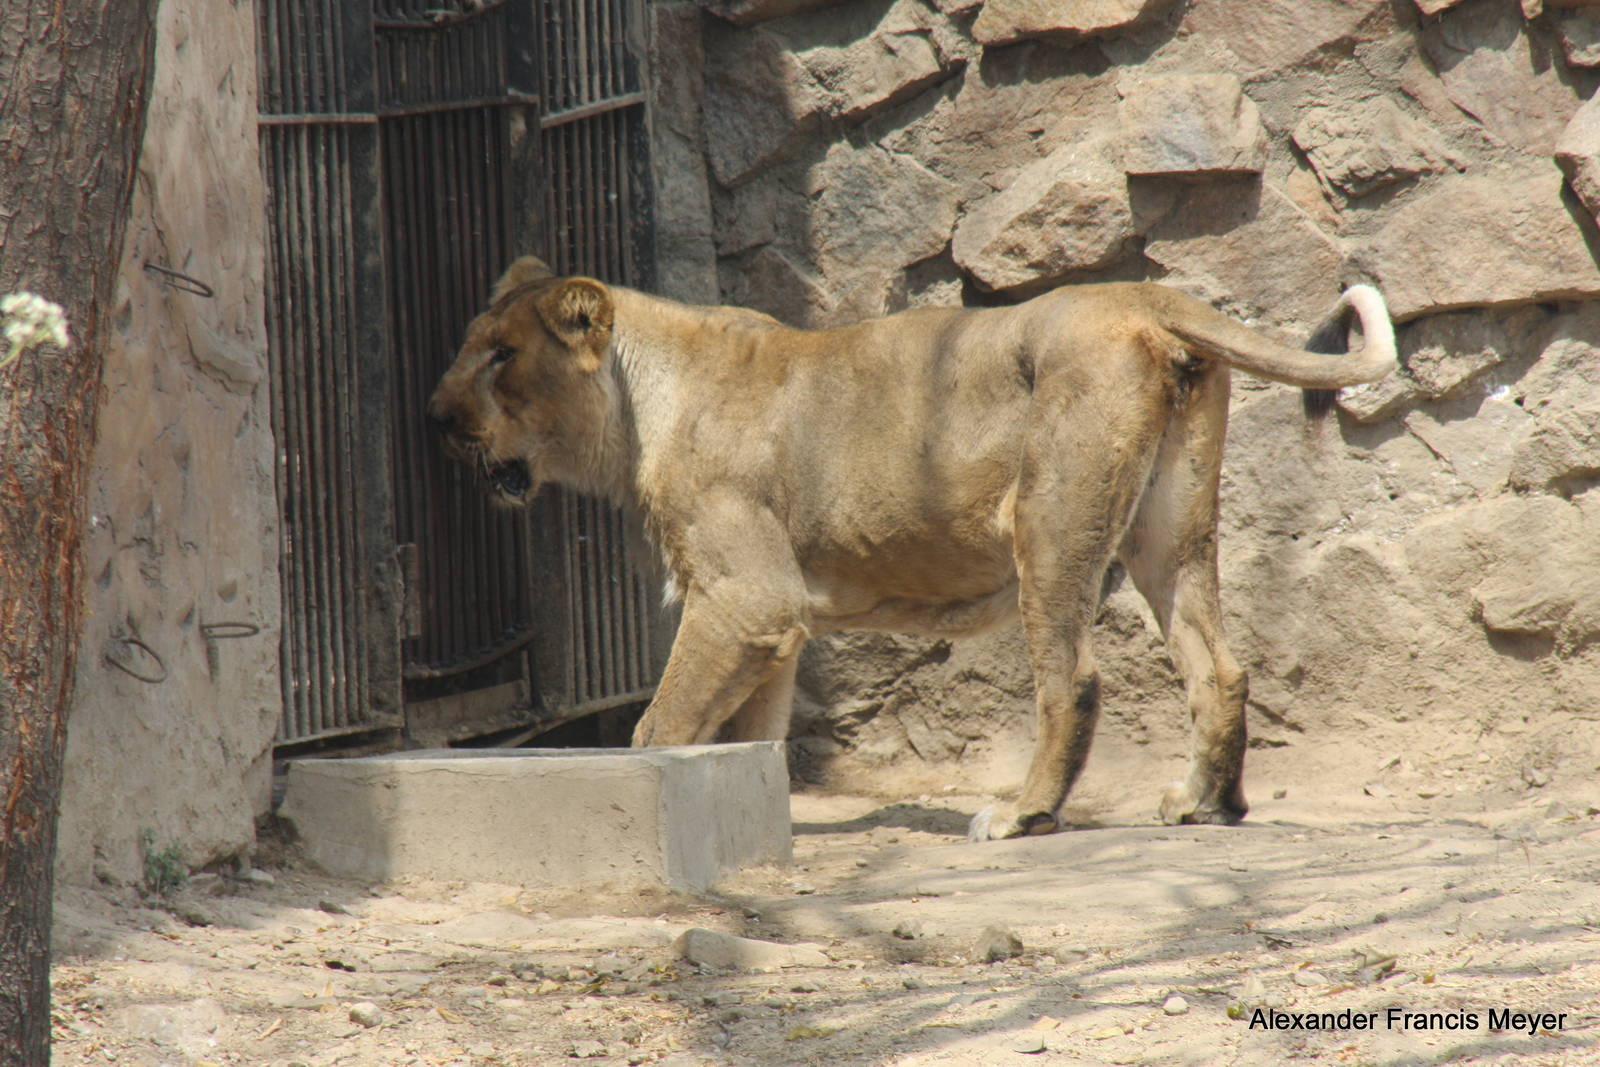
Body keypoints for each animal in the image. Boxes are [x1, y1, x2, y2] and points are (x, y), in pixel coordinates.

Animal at [428, 256, 1395, 840]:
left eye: (502, 355)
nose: (436, 418)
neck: (640, 406)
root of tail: (1143, 295)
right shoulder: (776, 624)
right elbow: (752, 737)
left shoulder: (744, 596)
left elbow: (659, 727)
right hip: (1170, 528)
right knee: (1218, 666)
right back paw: (1206, 803)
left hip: (1050, 522)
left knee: (1074, 679)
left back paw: (1022, 816)